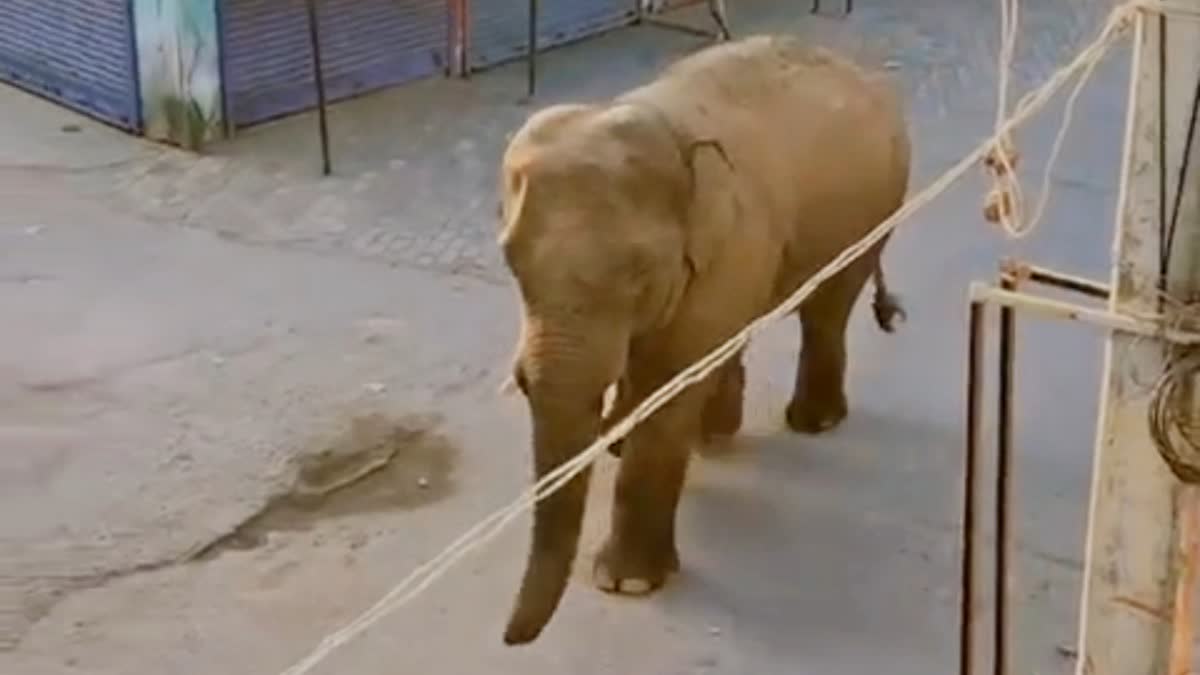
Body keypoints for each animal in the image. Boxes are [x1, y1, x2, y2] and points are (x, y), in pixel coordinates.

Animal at [496, 34, 911, 645]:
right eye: (510, 261)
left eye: (638, 272)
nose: (508, 638)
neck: (654, 119)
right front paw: (618, 440)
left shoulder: (727, 242)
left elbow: (670, 385)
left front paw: (626, 583)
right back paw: (714, 434)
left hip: (873, 211)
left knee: (827, 308)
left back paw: (812, 423)